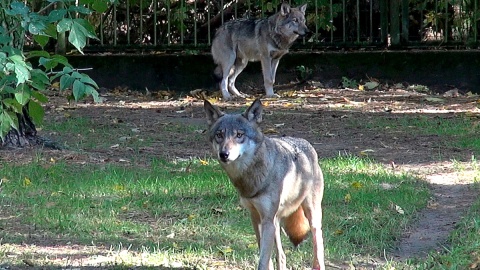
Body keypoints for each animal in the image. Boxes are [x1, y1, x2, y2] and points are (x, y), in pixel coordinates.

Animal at [204, 99, 324, 270]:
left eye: (239, 135)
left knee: (318, 242)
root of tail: (306, 143)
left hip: (310, 215)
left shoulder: (266, 220)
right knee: (282, 255)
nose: (224, 154)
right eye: (219, 135)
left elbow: (263, 261)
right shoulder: (256, 218)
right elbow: (266, 258)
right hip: (275, 223)